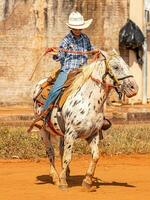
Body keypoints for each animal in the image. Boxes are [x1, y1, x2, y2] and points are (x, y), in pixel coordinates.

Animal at [30, 49, 138, 190]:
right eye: (115, 67)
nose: (134, 88)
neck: (88, 101)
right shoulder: (71, 134)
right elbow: (68, 157)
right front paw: (63, 182)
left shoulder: (93, 134)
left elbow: (95, 156)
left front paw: (87, 181)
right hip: (44, 131)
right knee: (50, 152)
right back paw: (55, 177)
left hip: (62, 134)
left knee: (60, 150)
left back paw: (66, 173)